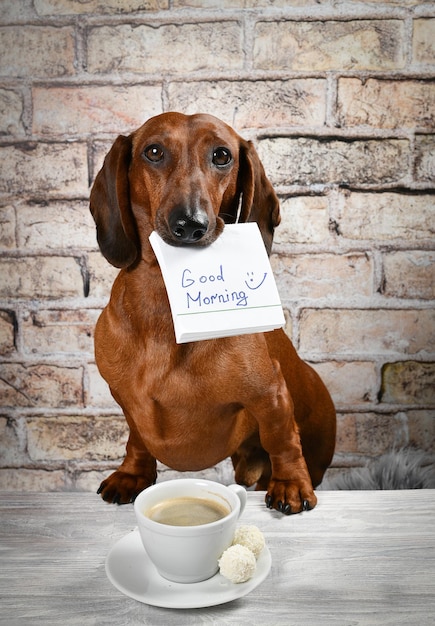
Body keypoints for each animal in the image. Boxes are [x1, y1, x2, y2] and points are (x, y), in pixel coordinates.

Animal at [89, 112, 338, 512]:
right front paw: (132, 474)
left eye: (222, 155)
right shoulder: (126, 401)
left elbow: (282, 439)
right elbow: (137, 438)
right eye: (153, 151)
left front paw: (290, 485)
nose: (190, 224)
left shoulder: (271, 393)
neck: (166, 308)